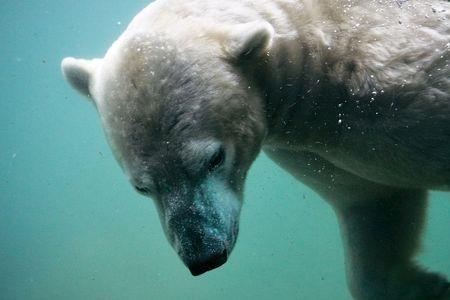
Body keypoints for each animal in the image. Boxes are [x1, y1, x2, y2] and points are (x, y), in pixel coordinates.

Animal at [60, 0, 450, 298]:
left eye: (215, 158)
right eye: (142, 187)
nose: (204, 256)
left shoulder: (396, 80)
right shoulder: (319, 149)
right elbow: (371, 198)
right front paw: (427, 286)